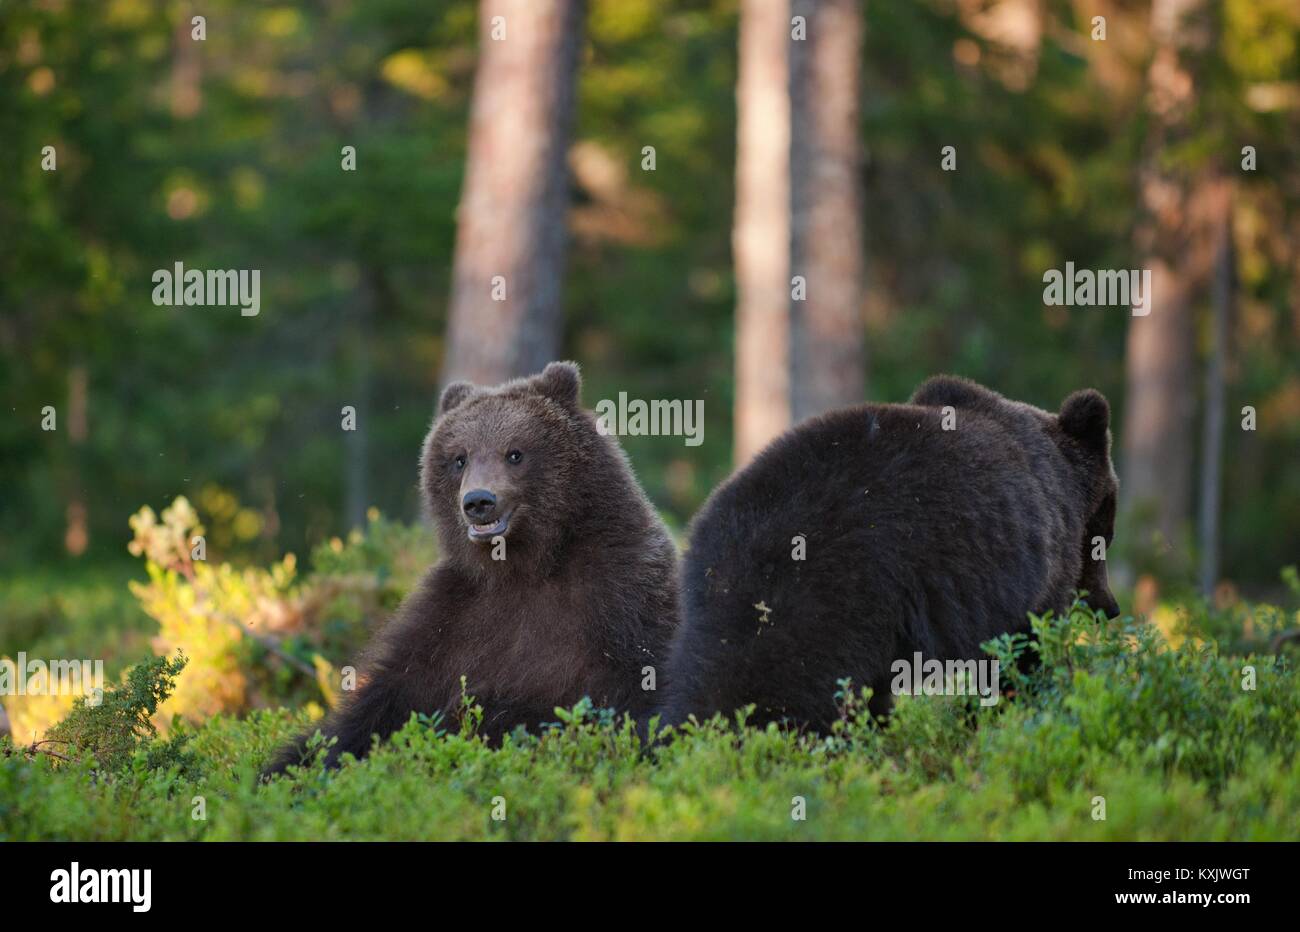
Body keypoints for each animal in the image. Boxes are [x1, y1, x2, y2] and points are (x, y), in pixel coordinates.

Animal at [263, 362, 679, 776]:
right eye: (459, 458)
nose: (478, 501)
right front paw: (289, 768)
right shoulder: (451, 615)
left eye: (515, 453)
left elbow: (625, 696)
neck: (523, 565)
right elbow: (379, 706)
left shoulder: (620, 595)